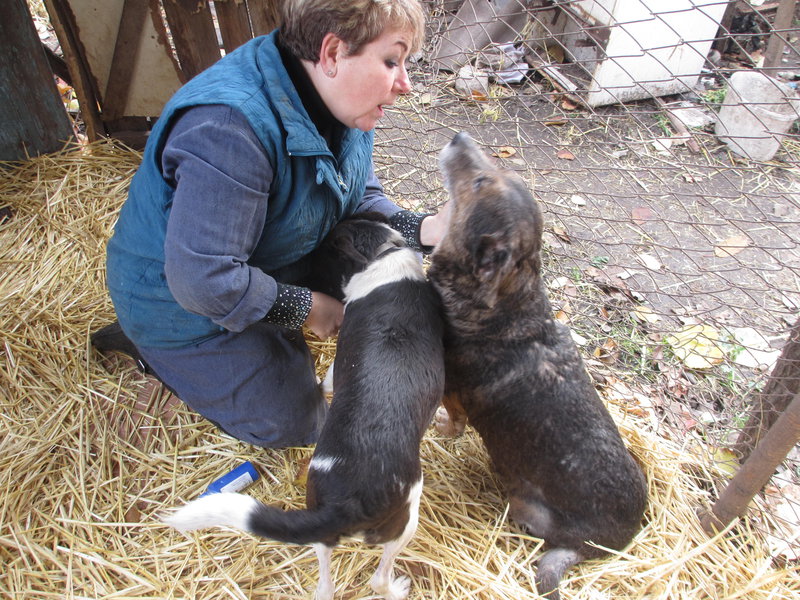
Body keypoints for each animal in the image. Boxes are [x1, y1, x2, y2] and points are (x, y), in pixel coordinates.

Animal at [166, 217, 446, 600]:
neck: (382, 257)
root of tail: (345, 505)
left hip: (320, 523)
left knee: (324, 581)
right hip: (406, 519)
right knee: (378, 577)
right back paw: (397, 587)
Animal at [428, 132, 648, 600]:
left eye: (479, 182)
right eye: (495, 171)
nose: (458, 137)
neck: (505, 304)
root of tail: (608, 546)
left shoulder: (451, 392)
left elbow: (453, 421)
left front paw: (443, 429)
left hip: (525, 502)